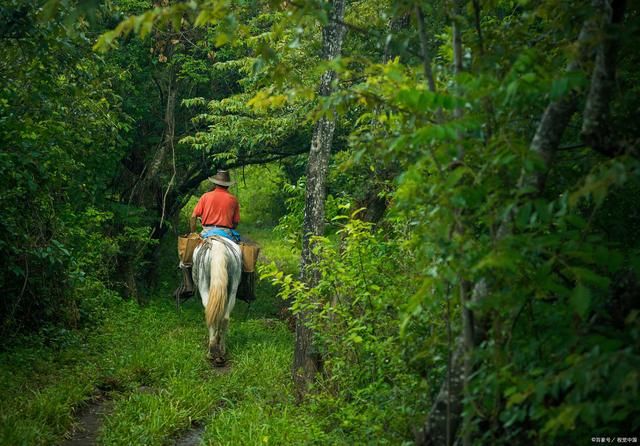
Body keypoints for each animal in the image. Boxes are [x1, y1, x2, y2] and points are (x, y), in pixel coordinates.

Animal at [191, 237, 241, 366]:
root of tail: (218, 248)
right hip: (233, 286)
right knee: (225, 318)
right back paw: (221, 352)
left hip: (203, 283)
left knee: (209, 314)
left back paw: (211, 351)